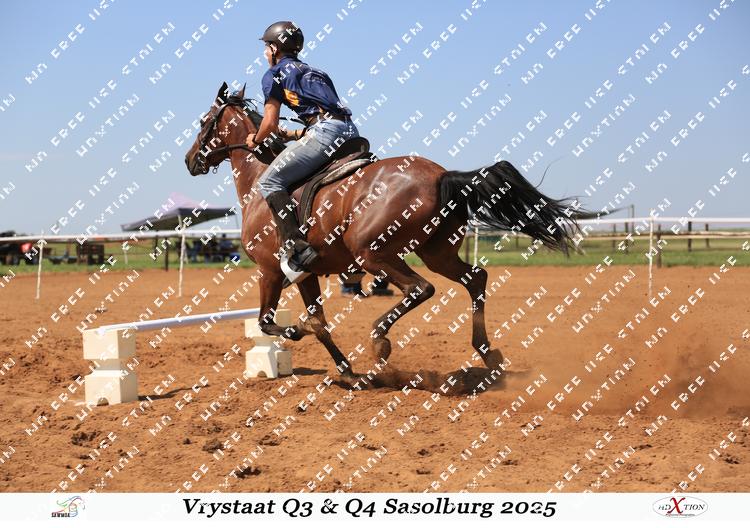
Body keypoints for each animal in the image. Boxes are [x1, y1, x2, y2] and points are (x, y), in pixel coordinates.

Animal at [184, 82, 584, 393]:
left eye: (204, 122)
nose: (190, 161)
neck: (259, 183)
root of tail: (441, 175)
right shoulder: (304, 274)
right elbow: (320, 324)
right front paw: (347, 372)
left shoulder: (269, 271)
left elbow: (271, 322)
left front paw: (298, 333)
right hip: (436, 253)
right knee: (476, 278)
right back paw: (488, 353)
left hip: (373, 254)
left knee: (421, 289)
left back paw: (380, 341)